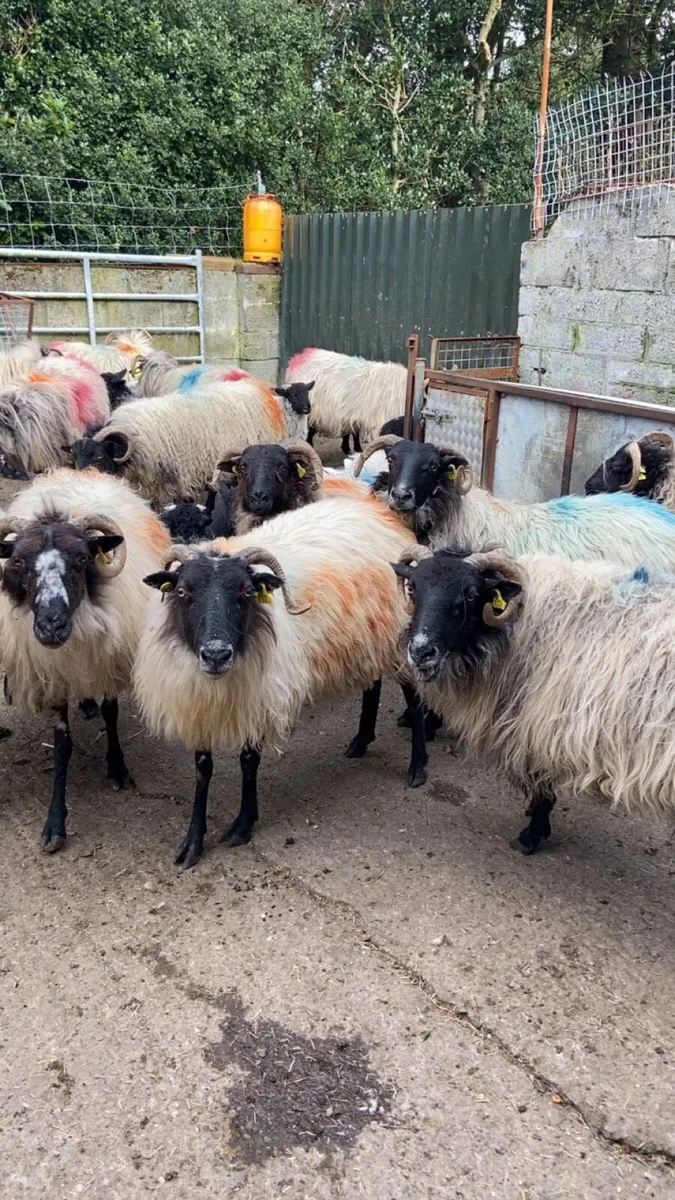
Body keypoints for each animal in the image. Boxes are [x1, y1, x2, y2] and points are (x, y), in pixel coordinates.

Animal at [0, 467, 171, 851]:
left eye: (81, 560)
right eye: (18, 562)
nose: (51, 625)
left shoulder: (107, 660)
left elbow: (112, 712)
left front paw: (117, 768)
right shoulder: (53, 674)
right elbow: (62, 745)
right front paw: (54, 824)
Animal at [133, 493, 415, 867]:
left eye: (246, 593)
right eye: (182, 592)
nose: (216, 654)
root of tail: (378, 511)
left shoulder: (260, 697)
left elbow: (248, 762)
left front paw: (243, 825)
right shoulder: (199, 705)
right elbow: (202, 769)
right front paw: (192, 842)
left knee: (412, 695)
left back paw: (418, 768)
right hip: (366, 641)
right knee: (373, 685)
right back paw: (360, 741)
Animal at [395, 543, 675, 854]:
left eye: (470, 594)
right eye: (413, 588)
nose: (421, 651)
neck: (518, 627)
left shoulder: (539, 725)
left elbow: (543, 785)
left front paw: (532, 834)